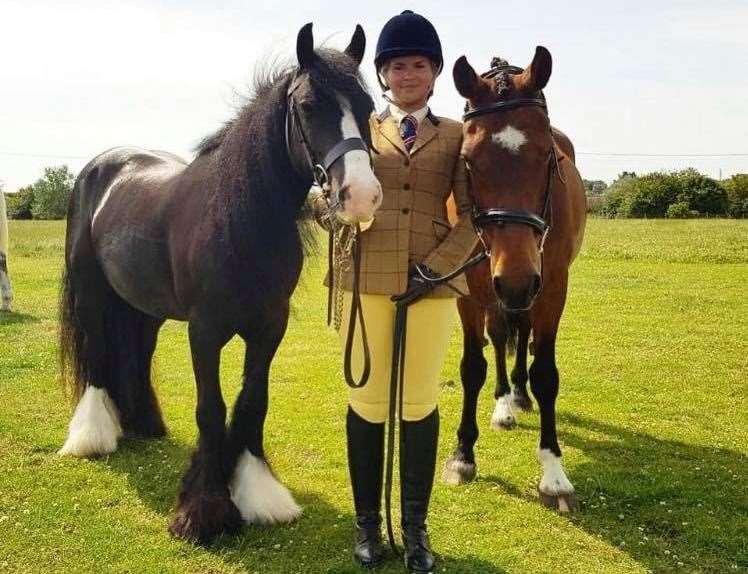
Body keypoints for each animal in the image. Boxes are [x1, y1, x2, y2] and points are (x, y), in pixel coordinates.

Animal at [60, 23, 380, 544]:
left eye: (368, 107)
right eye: (309, 106)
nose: (362, 195)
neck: (239, 218)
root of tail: (102, 167)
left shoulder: (270, 328)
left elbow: (252, 403)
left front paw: (257, 494)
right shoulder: (205, 332)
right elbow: (211, 409)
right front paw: (203, 510)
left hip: (144, 307)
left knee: (137, 353)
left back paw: (143, 422)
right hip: (91, 294)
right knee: (96, 354)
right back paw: (92, 436)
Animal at [442, 46, 588, 512]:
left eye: (548, 156)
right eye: (468, 161)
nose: (518, 280)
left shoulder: (552, 284)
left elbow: (545, 373)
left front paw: (554, 473)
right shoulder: (470, 289)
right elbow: (473, 366)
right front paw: (463, 456)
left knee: (520, 333)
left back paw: (519, 396)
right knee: (504, 332)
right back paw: (505, 403)